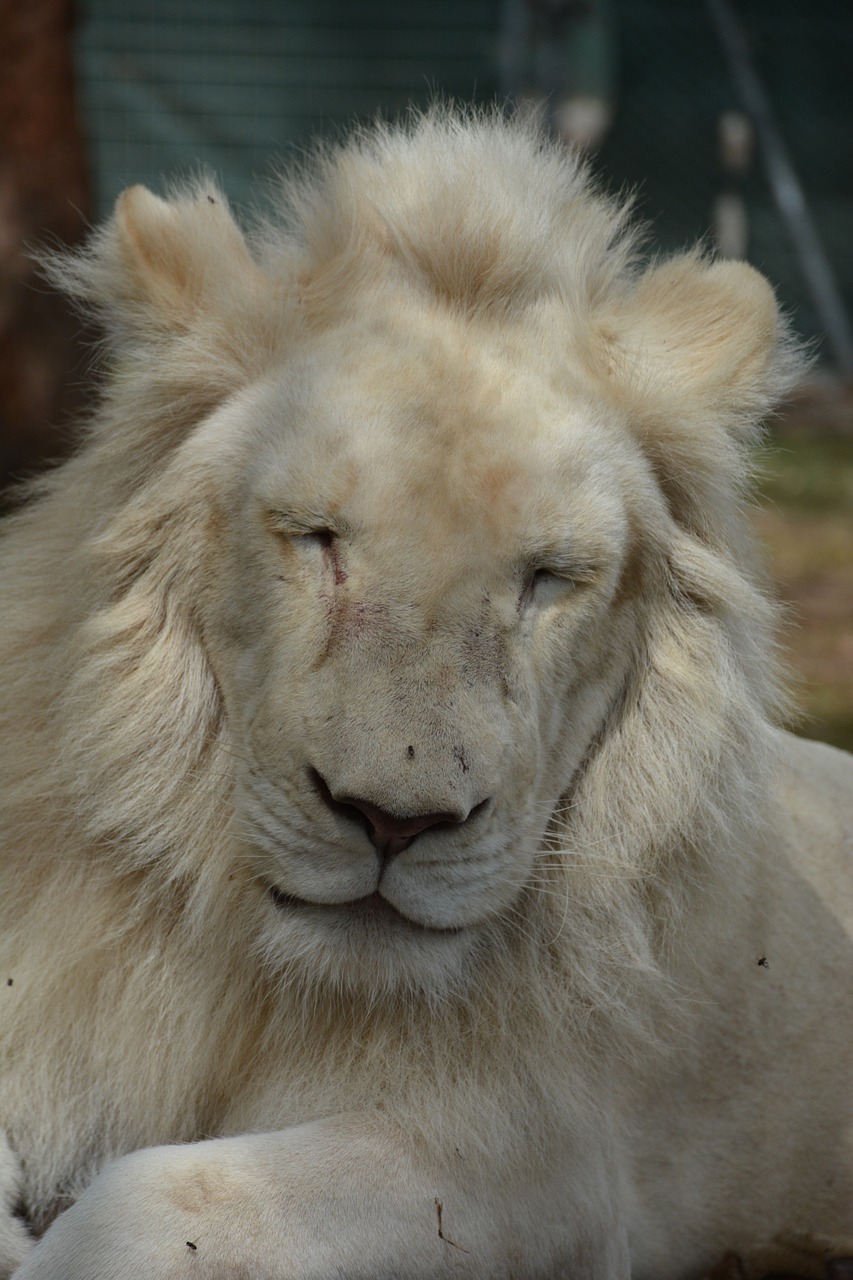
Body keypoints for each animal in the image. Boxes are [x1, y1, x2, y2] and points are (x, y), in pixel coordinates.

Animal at [1, 110, 850, 1280]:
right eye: (316, 537)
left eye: (548, 577)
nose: (392, 822)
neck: (245, 968)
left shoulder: (537, 1169)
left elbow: (163, 1199)